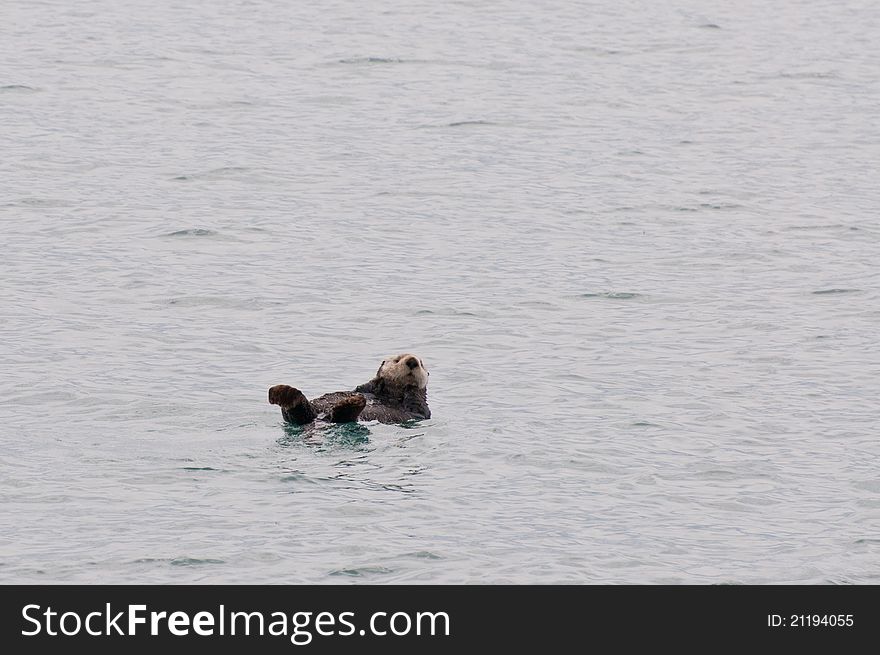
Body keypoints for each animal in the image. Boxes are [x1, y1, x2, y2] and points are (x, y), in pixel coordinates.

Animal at [270, 354, 432, 426]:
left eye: (421, 363)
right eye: (397, 360)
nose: (412, 361)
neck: (390, 394)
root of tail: (321, 419)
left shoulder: (420, 410)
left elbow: (415, 401)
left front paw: (412, 386)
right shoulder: (369, 387)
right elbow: (364, 387)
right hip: (315, 409)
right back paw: (284, 393)